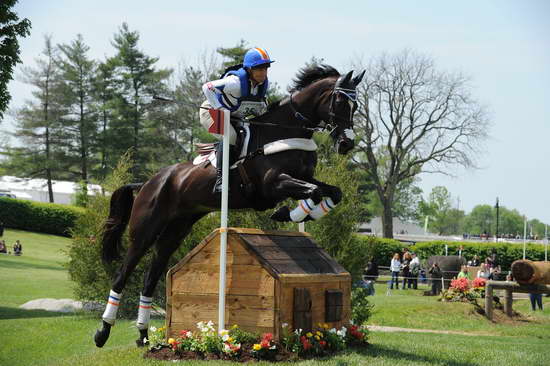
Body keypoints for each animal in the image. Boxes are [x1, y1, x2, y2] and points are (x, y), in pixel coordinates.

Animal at [92, 64, 364, 348]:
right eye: (340, 101)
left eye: (356, 105)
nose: (347, 143)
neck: (284, 130)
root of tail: (147, 182)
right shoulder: (273, 184)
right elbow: (313, 191)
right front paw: (286, 213)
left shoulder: (304, 178)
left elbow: (332, 192)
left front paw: (297, 214)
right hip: (145, 231)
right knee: (122, 274)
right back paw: (103, 332)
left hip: (175, 231)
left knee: (150, 277)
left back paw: (144, 335)